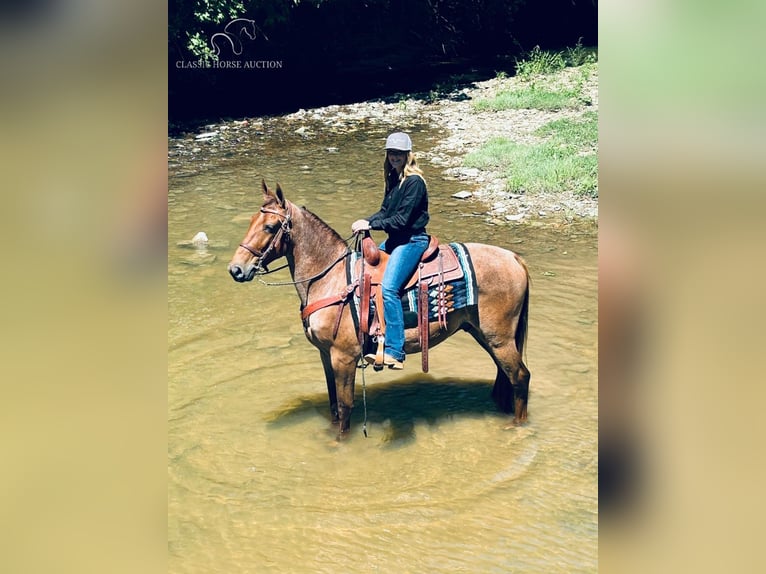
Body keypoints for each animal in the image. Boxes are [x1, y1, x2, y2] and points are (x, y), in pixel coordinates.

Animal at [225, 181, 532, 436]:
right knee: (505, 376)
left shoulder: (344, 357)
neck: (329, 278)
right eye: (251, 221)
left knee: (520, 376)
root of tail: (514, 258)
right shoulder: (325, 354)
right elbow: (333, 403)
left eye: (269, 227)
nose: (236, 269)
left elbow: (345, 406)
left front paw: (339, 444)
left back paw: (517, 426)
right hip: (484, 334)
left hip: (499, 338)